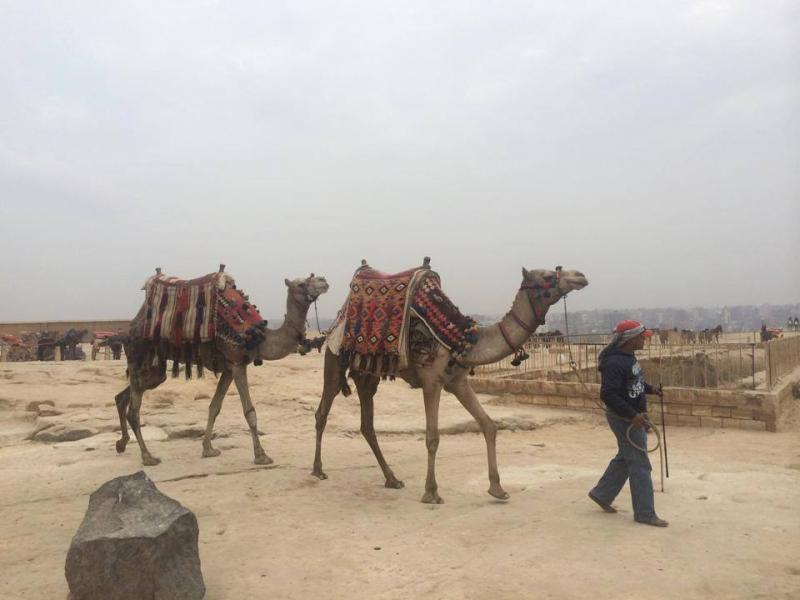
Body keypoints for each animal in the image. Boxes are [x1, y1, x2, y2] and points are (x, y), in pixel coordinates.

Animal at [115, 264, 328, 466]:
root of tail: (131, 326)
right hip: (138, 351)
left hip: (155, 367)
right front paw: (261, 455)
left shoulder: (228, 368)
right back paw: (147, 457)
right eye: (301, 284)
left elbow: (214, 407)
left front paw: (208, 449)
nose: (323, 281)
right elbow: (249, 411)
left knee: (126, 394)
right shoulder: (238, 363)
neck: (257, 336)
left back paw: (122, 443)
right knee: (134, 410)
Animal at [312, 258, 588, 502]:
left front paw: (497, 489)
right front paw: (431, 493)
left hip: (368, 374)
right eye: (548, 276)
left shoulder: (458, 382)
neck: (463, 340)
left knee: (367, 424)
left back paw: (392, 479)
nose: (581, 276)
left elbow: (489, 425)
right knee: (323, 411)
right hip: (335, 357)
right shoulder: (431, 382)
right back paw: (318, 470)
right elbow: (432, 437)